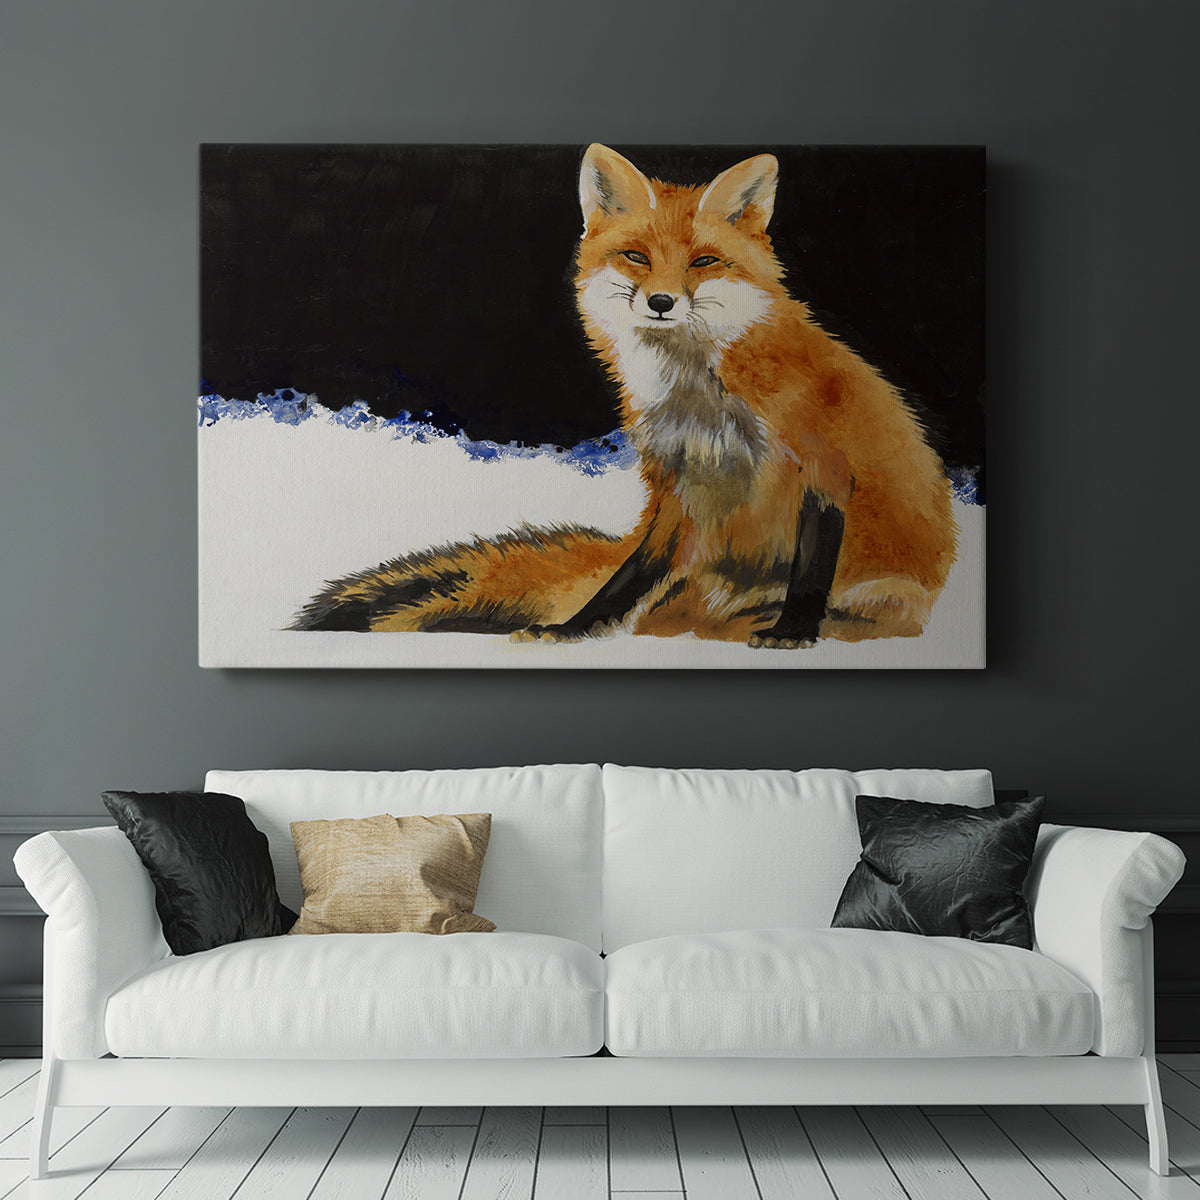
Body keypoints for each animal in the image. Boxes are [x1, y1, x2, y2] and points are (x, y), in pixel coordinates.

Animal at [291, 144, 958, 648]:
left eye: (703, 262)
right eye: (637, 256)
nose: (661, 302)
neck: (701, 395)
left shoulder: (822, 464)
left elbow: (811, 566)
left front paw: (793, 631)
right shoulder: (675, 483)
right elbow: (626, 577)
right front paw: (574, 629)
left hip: (884, 596)